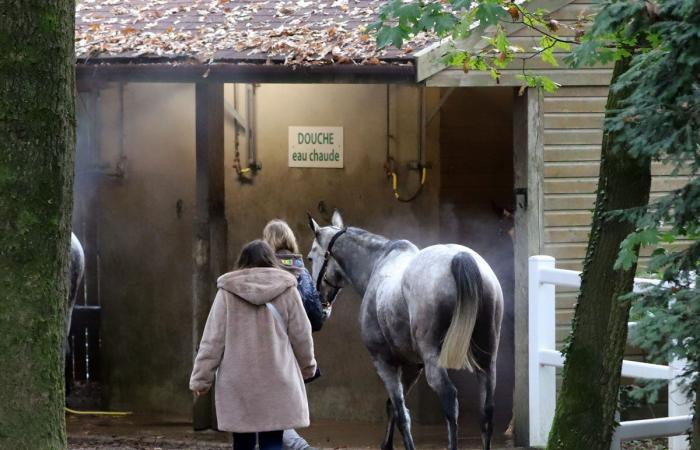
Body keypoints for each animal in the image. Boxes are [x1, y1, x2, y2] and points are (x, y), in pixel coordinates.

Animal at [308, 212, 500, 450]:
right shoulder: (412, 366)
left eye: (310, 257)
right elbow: (393, 407)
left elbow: (401, 414)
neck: (378, 264)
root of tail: (460, 257)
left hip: (433, 360)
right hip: (487, 360)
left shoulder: (384, 363)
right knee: (486, 413)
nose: (319, 303)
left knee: (449, 399)